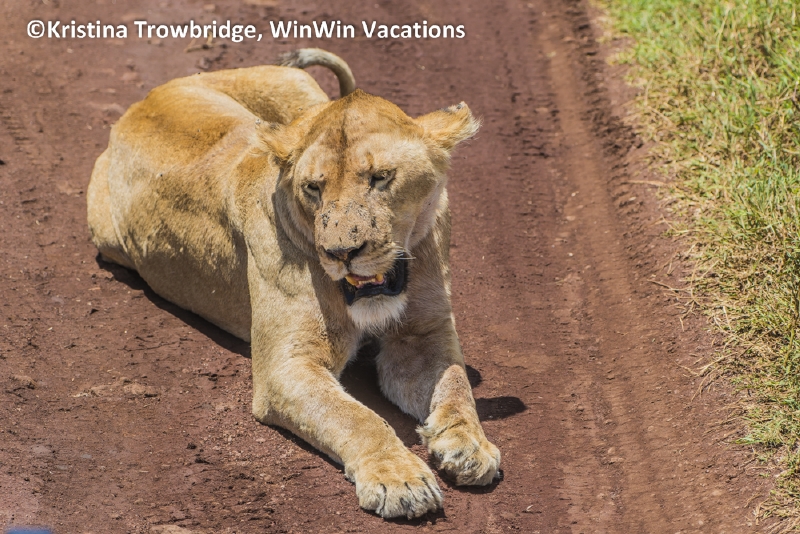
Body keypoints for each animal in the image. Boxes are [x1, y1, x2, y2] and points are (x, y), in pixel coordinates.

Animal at [87, 48, 500, 519]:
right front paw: (400, 479)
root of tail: (148, 98)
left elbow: (455, 383)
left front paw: (468, 445)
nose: (341, 252)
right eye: (313, 188)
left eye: (380, 177)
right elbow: (356, 417)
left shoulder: (424, 333)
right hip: (108, 235)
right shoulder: (287, 366)